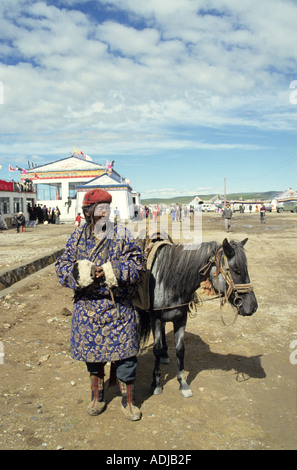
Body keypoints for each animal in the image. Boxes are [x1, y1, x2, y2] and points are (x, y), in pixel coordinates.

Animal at [136, 239, 256, 396]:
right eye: (236, 270)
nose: (253, 306)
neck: (168, 281)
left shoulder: (181, 318)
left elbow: (180, 349)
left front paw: (183, 383)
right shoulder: (155, 318)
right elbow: (156, 348)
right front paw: (156, 383)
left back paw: (165, 355)